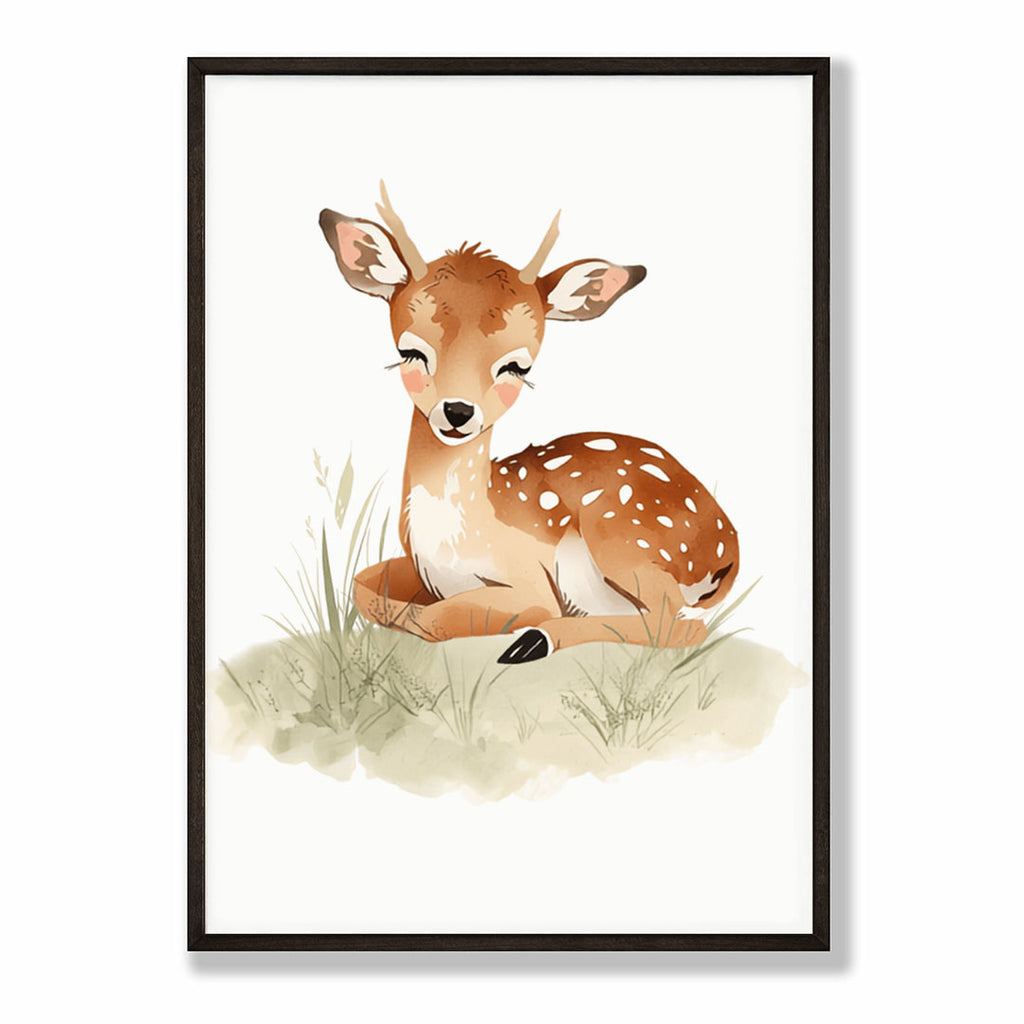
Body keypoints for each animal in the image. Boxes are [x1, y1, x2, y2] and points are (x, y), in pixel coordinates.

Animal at [318, 183, 738, 664]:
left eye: (517, 366)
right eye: (410, 352)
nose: (458, 412)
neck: (453, 541)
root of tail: (729, 547)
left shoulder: (533, 583)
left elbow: (434, 617)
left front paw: (524, 630)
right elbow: (368, 590)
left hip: (621, 535)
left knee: (680, 625)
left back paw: (534, 641)